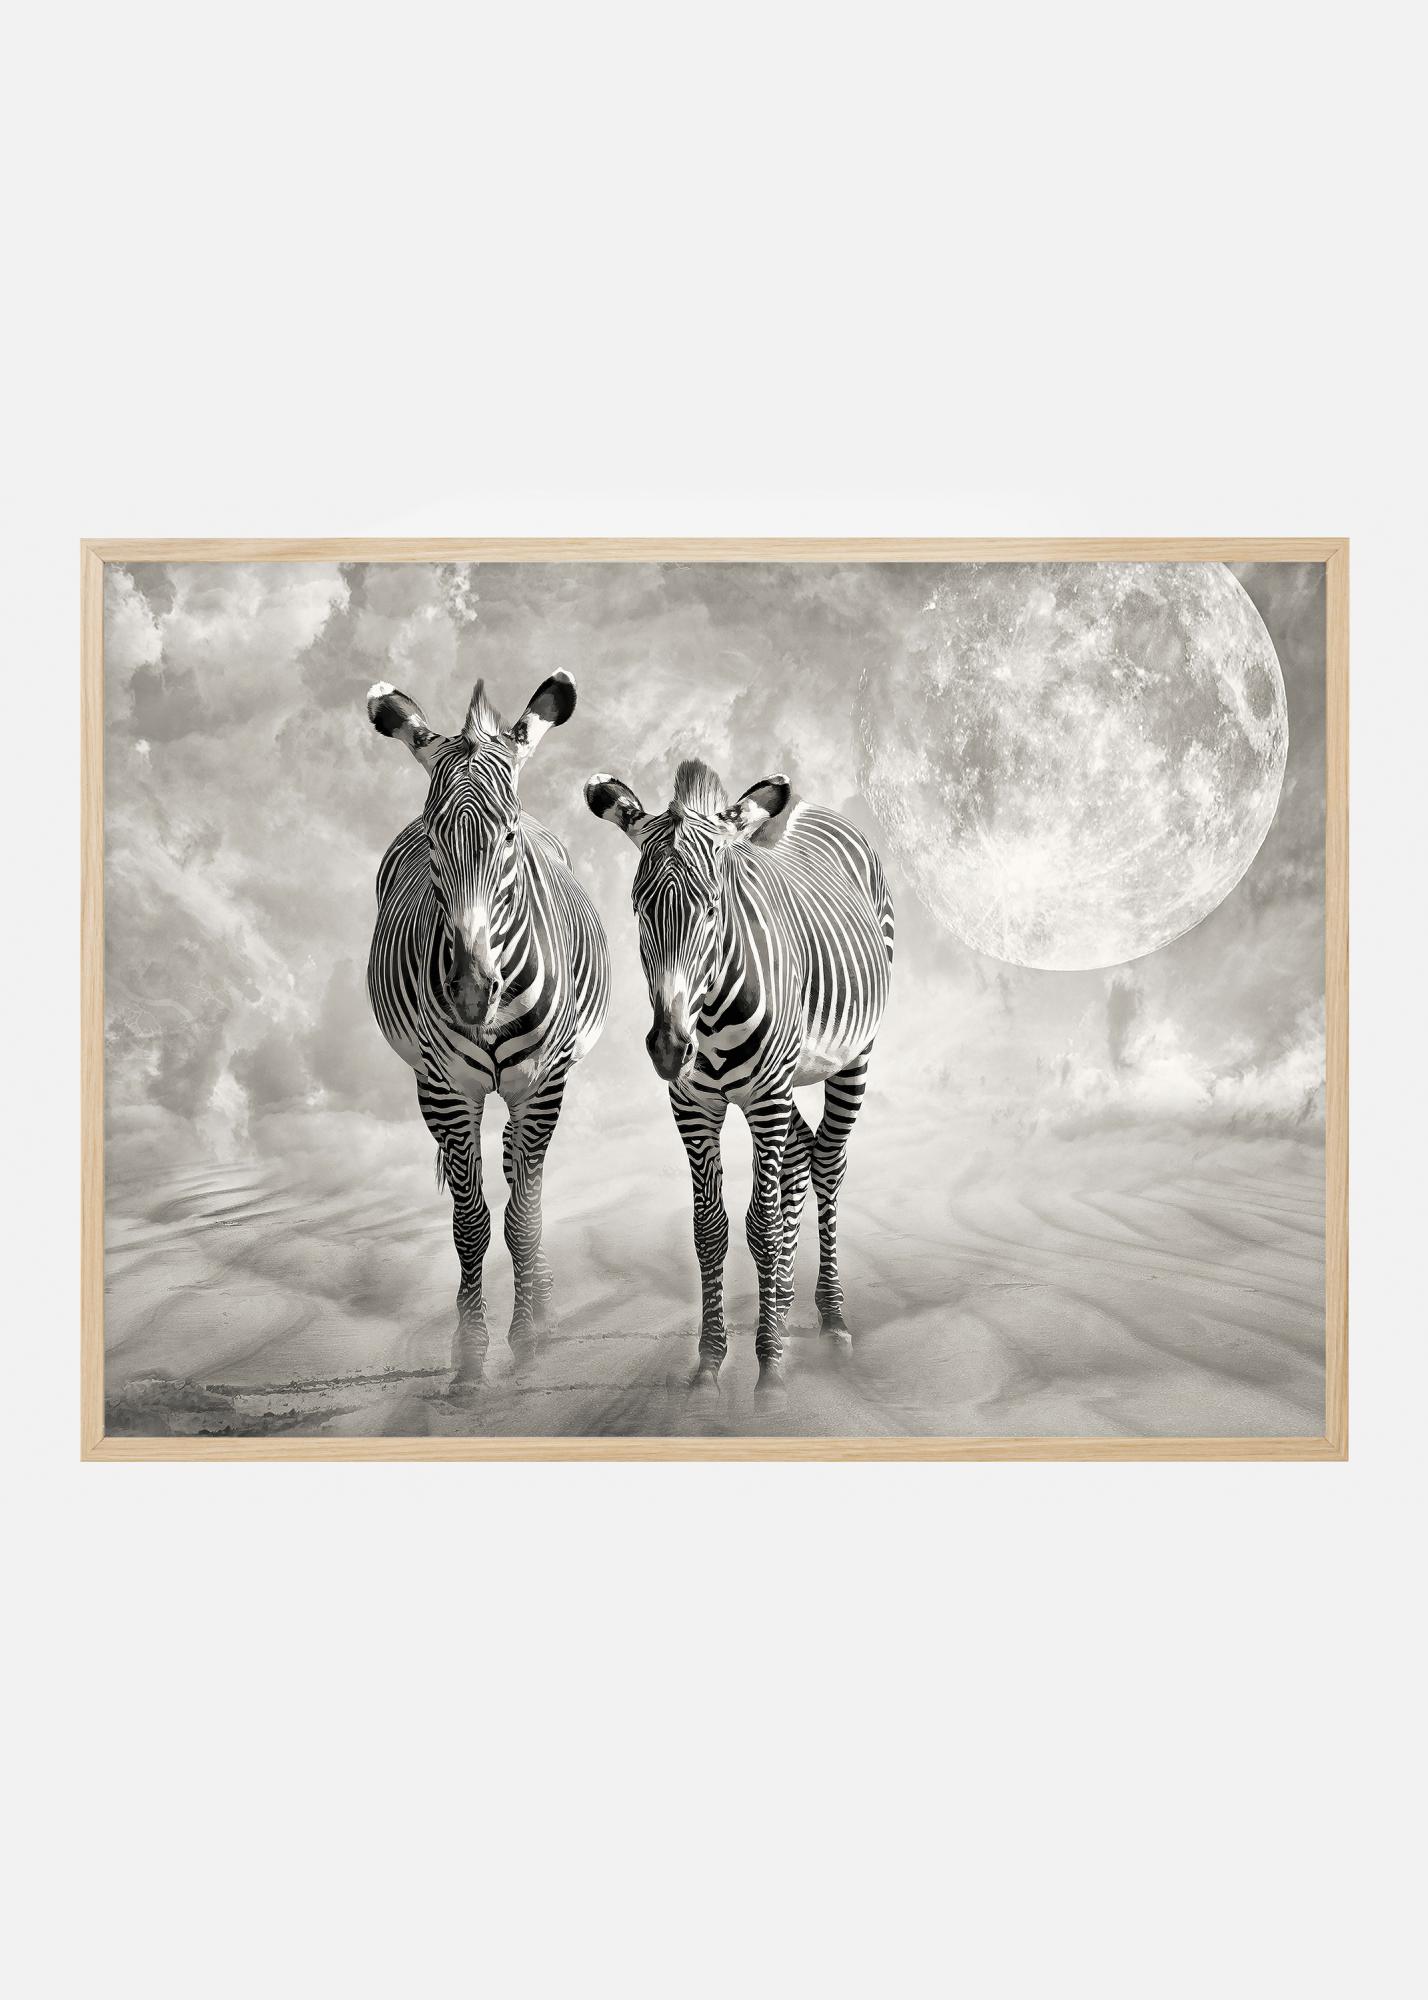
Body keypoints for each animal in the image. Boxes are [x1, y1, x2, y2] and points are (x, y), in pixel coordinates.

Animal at [366, 672, 609, 1385]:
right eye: (433, 836)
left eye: (508, 839)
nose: (473, 993)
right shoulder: (447, 1090)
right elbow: (470, 1221)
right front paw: (471, 1351)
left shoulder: (543, 1085)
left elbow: (522, 1215)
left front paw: (527, 1335)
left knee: (521, 1179)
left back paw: (543, 1300)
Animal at [586, 760, 893, 1397]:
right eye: (639, 909)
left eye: (711, 908)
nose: (668, 1047)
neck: (707, 1015)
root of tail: (811, 806)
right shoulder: (692, 1106)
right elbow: (710, 1229)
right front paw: (710, 1360)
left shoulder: (766, 1097)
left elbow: (761, 1225)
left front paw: (769, 1368)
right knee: (802, 1154)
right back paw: (787, 1300)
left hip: (854, 1055)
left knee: (827, 1161)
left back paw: (831, 1318)